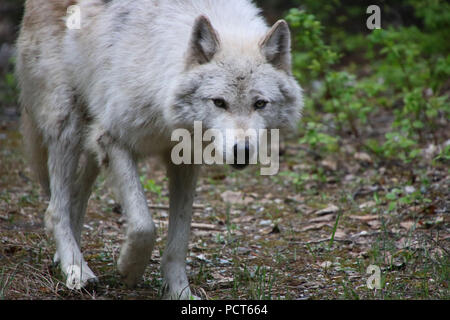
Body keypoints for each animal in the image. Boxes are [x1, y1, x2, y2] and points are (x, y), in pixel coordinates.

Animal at [14, 0, 302, 300]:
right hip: (67, 123)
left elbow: (179, 238)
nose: (242, 150)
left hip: (89, 138)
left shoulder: (184, 162)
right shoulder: (113, 139)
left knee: (75, 197)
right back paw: (77, 270)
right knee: (55, 210)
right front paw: (129, 268)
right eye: (219, 102)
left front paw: (179, 292)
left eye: (260, 104)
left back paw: (69, 259)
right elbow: (144, 225)